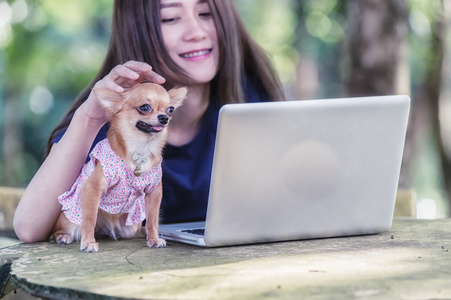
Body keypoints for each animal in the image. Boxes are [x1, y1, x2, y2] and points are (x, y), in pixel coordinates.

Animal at [52, 81, 186, 251]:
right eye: (144, 107)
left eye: (171, 109)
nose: (164, 118)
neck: (140, 149)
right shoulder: (92, 187)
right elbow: (89, 219)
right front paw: (88, 242)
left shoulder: (154, 192)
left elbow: (153, 219)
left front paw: (154, 239)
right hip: (69, 221)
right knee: (61, 229)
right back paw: (63, 236)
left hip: (130, 227)